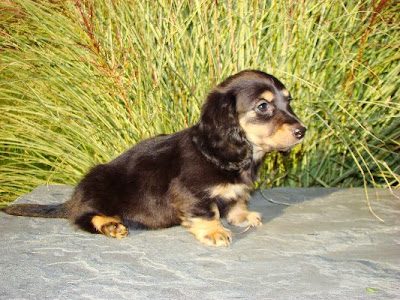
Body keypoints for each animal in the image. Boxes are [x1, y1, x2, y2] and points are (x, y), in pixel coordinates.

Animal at [1, 71, 306, 248]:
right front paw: (215, 232)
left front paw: (243, 216)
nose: (302, 131)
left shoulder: (236, 191)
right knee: (84, 217)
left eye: (289, 102)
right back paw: (111, 225)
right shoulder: (191, 193)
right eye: (263, 106)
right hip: (98, 188)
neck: (219, 153)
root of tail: (74, 199)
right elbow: (209, 211)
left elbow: (235, 201)